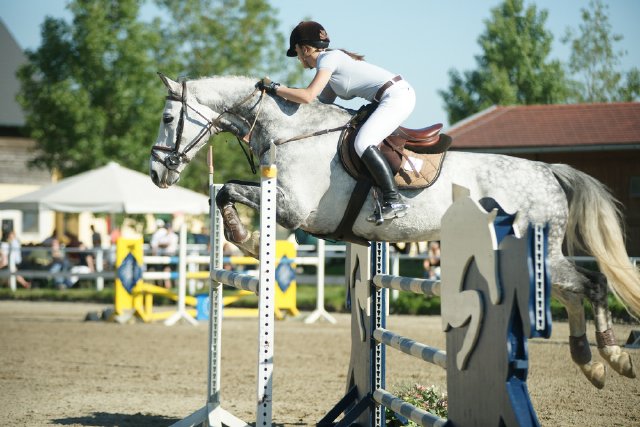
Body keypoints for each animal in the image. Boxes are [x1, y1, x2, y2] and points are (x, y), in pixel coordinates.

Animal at [148, 74, 636, 392]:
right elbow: (224, 191)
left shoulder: (292, 210)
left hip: (540, 251)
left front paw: (247, 240)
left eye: (169, 117)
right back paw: (589, 364)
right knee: (574, 292)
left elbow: (229, 190)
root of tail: (548, 171)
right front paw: (245, 238)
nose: (156, 173)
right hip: (538, 256)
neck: (293, 132)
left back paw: (614, 357)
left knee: (593, 284)